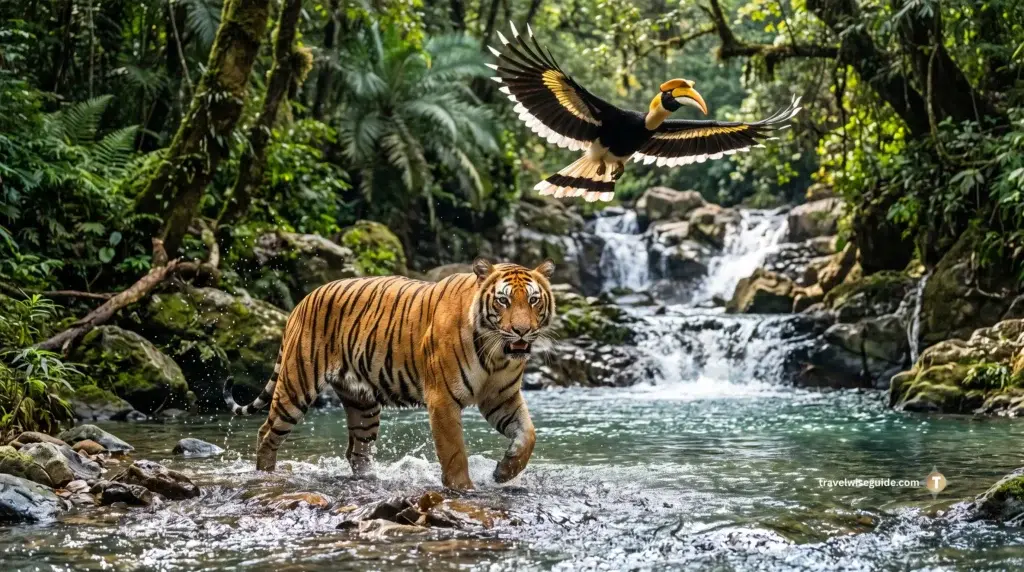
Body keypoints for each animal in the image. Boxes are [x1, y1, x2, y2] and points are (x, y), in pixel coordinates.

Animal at [223, 257, 556, 490]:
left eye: (533, 299)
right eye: (503, 300)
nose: (521, 331)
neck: (497, 355)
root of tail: (303, 300)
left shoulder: (501, 398)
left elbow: (528, 435)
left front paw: (504, 472)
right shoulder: (443, 400)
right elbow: (454, 452)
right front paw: (464, 488)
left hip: (363, 405)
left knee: (357, 452)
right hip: (296, 385)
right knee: (267, 433)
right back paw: (265, 476)